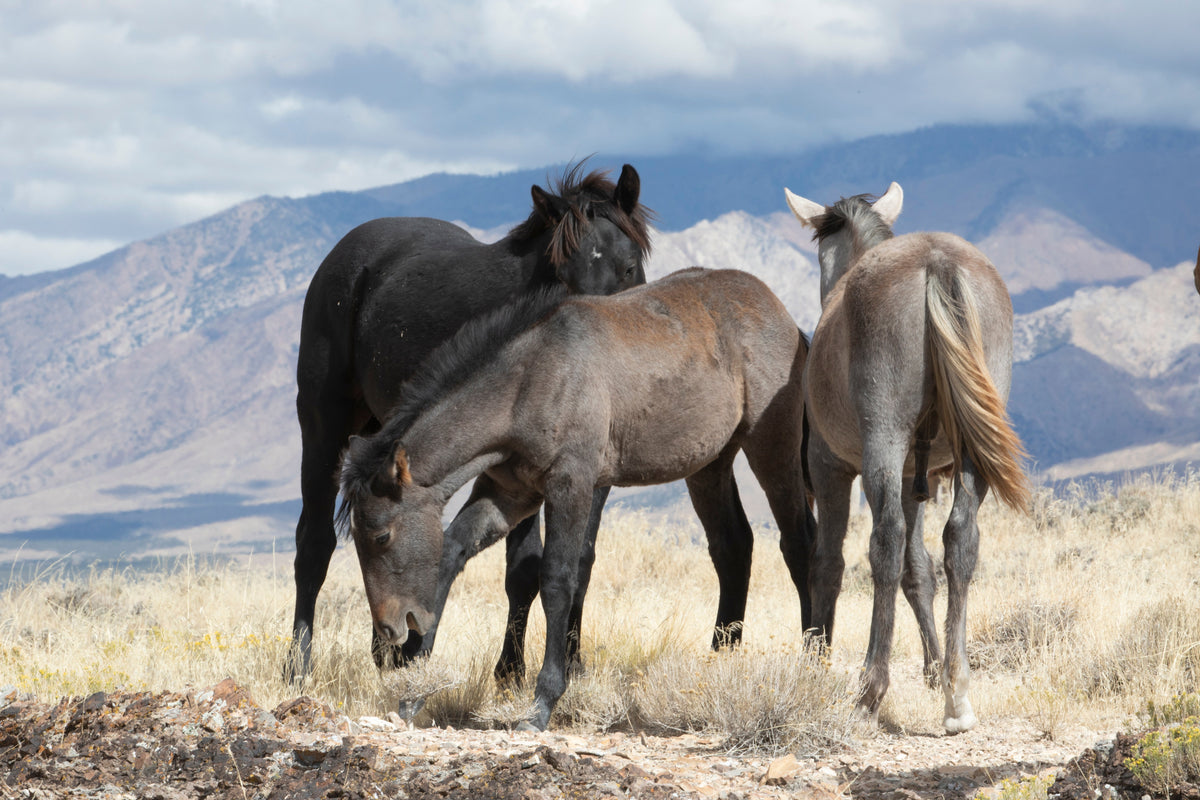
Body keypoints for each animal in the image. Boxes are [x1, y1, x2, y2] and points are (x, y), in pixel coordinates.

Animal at [287, 163, 653, 686]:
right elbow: (522, 566)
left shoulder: (591, 474)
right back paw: (298, 668)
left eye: (627, 268)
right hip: (322, 427)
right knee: (314, 545)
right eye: (561, 274)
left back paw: (385, 653)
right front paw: (508, 671)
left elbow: (579, 559)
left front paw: (572, 662)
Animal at [338, 267, 815, 730]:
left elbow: (557, 579)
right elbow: (450, 554)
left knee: (800, 543)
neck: (531, 381)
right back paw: (720, 662)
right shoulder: (510, 494)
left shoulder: (572, 486)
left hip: (772, 447)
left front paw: (542, 704)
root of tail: (785, 316)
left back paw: (814, 660)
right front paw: (413, 693)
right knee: (733, 547)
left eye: (381, 536)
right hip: (709, 465)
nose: (390, 628)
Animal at [783, 182, 1030, 734]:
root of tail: (936, 261)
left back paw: (870, 690)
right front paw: (935, 669)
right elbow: (920, 571)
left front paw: (813, 662)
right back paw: (958, 694)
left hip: (883, 443)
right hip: (968, 456)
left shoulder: (833, 470)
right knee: (960, 541)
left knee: (886, 543)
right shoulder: (917, 481)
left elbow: (829, 563)